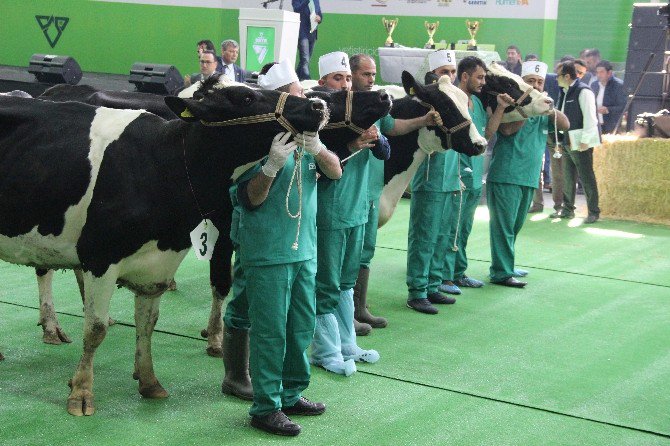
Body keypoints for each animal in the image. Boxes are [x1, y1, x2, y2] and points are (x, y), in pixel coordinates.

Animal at [0, 79, 328, 414]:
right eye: (246, 97)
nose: (317, 105)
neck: (164, 165)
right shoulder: (100, 256)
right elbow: (95, 329)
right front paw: (81, 392)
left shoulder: (156, 266)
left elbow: (147, 324)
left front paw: (149, 381)